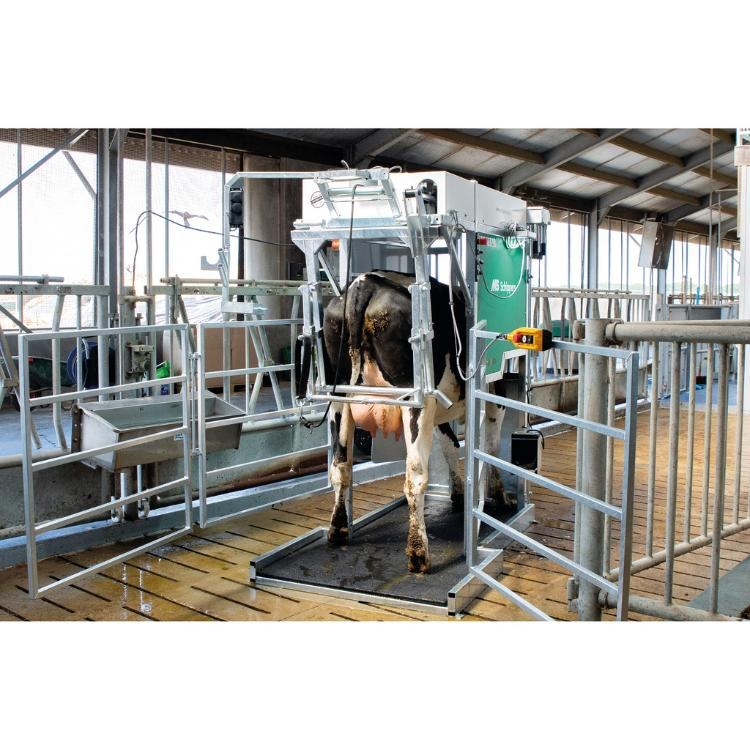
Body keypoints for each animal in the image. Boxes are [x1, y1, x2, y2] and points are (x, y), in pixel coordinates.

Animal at [322, 270, 506, 573]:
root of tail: (365, 283)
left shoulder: (442, 409)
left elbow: (451, 445)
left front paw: (459, 492)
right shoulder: (497, 388)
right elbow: (490, 446)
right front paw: (499, 495)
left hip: (338, 396)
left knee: (340, 466)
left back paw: (337, 531)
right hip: (415, 402)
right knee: (415, 476)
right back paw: (419, 554)